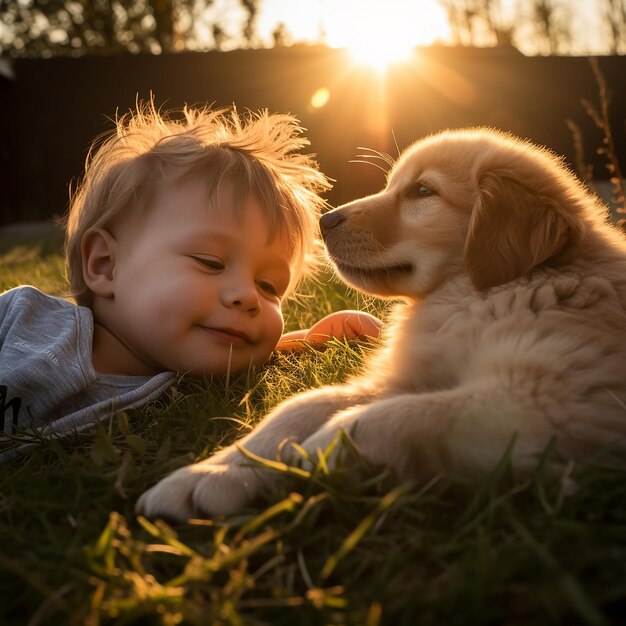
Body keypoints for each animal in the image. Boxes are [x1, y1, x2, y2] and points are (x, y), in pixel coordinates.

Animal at [136, 128, 624, 520]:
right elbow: (303, 406)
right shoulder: (402, 379)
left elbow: (385, 417)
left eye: (423, 191)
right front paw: (213, 472)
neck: (467, 297)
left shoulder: (550, 403)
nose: (325, 220)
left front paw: (313, 452)